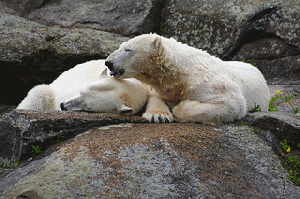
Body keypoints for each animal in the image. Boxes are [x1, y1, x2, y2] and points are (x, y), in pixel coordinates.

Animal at [105, 33, 270, 124]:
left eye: (128, 49)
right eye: (120, 46)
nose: (108, 62)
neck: (181, 73)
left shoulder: (210, 84)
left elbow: (233, 104)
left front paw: (179, 107)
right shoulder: (168, 86)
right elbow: (155, 96)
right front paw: (159, 115)